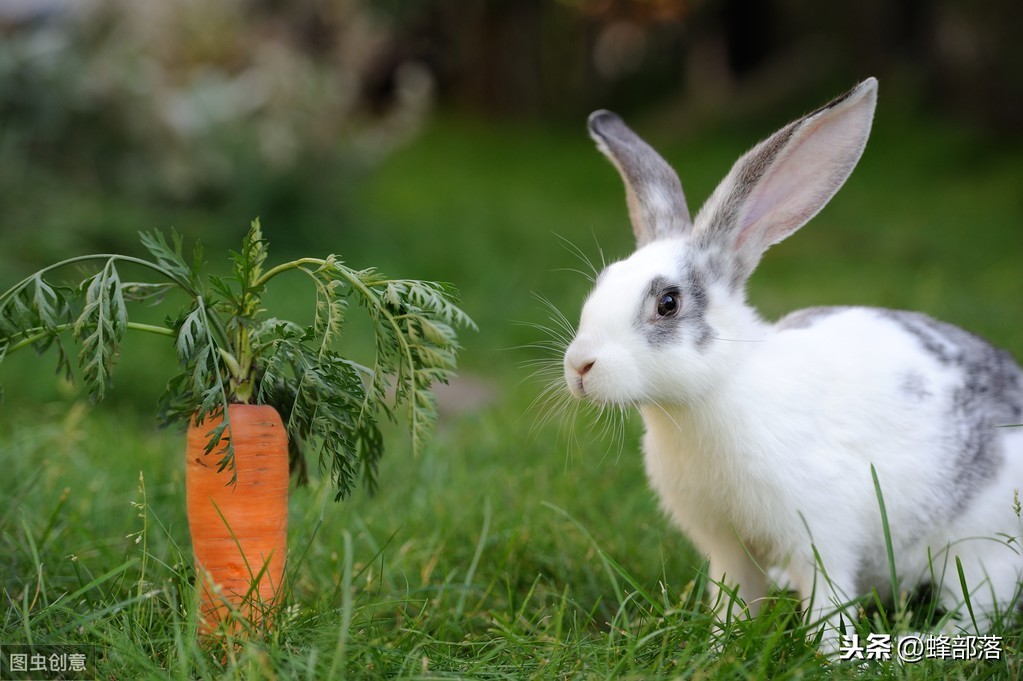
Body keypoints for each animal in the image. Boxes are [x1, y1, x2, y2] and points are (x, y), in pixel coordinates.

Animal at [564, 76, 1023, 646]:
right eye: (602, 283)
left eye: (667, 303)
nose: (579, 367)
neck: (716, 392)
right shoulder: (726, 545)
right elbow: (733, 596)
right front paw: (721, 644)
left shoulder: (822, 533)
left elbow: (828, 598)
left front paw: (829, 652)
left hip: (982, 546)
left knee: (985, 596)